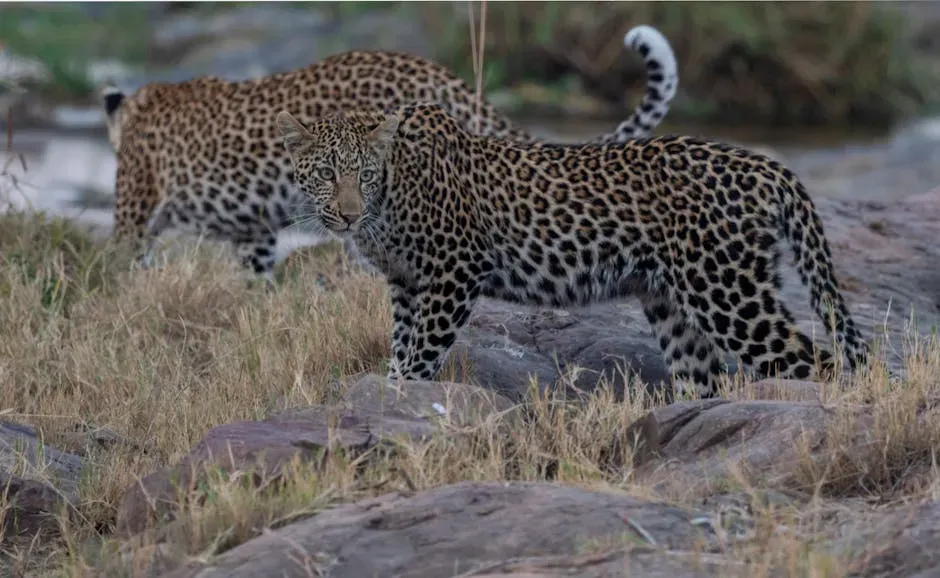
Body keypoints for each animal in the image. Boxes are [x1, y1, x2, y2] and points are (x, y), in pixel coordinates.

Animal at [273, 101, 872, 398]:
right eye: (326, 175)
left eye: (365, 175)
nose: (348, 215)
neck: (390, 198)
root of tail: (765, 165)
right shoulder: (406, 283)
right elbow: (401, 344)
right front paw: (391, 389)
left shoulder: (453, 272)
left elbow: (421, 352)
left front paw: (405, 396)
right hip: (675, 307)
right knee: (706, 378)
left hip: (727, 293)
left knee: (816, 362)